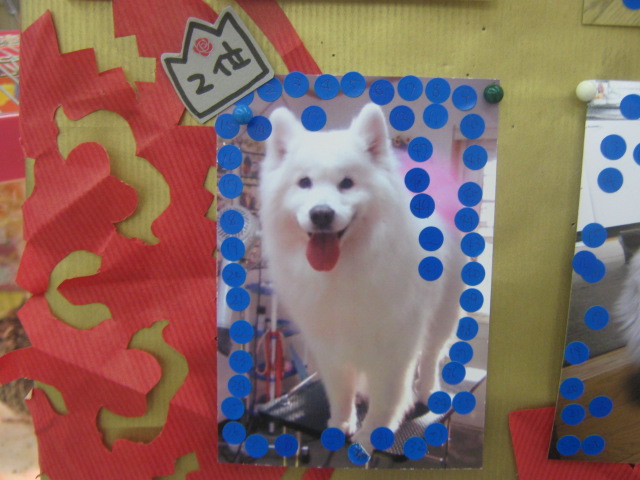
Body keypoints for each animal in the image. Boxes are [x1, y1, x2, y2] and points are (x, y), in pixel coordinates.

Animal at [258, 103, 463, 450]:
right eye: (304, 183)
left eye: (347, 183)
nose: (321, 214)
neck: (345, 267)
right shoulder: (330, 343)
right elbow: (340, 391)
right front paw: (341, 423)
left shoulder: (394, 343)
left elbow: (388, 395)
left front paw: (372, 435)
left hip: (443, 313)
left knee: (431, 356)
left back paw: (427, 393)